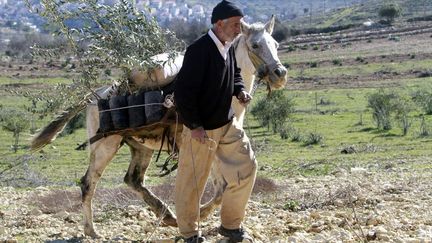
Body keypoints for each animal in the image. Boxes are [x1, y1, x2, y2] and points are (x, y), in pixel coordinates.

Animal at [30, 16, 286, 238]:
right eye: (255, 45)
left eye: (275, 44)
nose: (280, 74)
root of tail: (94, 97)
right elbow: (220, 188)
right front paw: (199, 216)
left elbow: (224, 187)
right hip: (105, 147)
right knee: (88, 184)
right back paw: (92, 231)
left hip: (140, 147)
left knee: (133, 180)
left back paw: (166, 214)